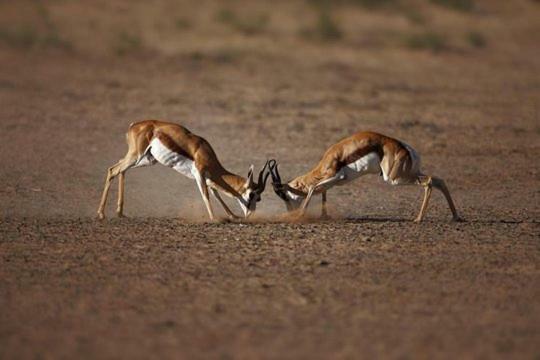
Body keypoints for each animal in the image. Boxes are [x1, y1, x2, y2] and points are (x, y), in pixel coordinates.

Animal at [97, 120, 270, 219]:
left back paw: (119, 212)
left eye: (259, 198)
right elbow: (206, 195)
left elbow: (217, 195)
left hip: (146, 160)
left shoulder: (209, 178)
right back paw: (101, 214)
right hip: (136, 156)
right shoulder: (200, 174)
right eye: (253, 195)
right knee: (113, 170)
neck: (204, 152)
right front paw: (214, 219)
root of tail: (133, 125)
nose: (250, 214)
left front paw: (233, 216)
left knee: (121, 168)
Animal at [268, 131, 460, 222]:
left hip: (394, 179)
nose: (290, 211)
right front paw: (324, 216)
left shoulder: (335, 177)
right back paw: (456, 217)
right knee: (439, 180)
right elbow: (323, 191)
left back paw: (418, 219)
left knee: (429, 182)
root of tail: (406, 148)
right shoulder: (334, 181)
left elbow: (314, 187)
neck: (329, 160)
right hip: (411, 173)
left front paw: (299, 215)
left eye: (284, 195)